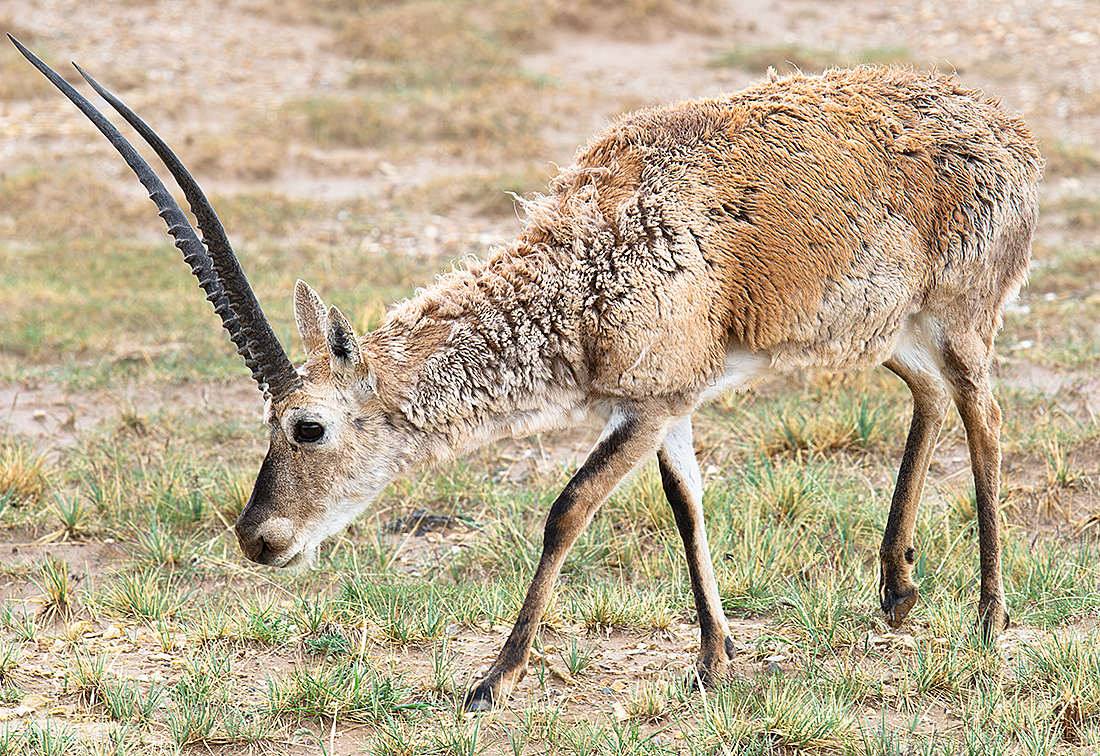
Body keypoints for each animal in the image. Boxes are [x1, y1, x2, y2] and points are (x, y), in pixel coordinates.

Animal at [19, 33, 1047, 708]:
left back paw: (990, 621)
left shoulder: (647, 403)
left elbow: (567, 508)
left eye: (307, 426)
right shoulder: (666, 403)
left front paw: (494, 677)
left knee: (986, 420)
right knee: (929, 397)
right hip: (891, 330)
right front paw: (714, 659)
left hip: (961, 317)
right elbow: (686, 505)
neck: (584, 263)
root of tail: (1009, 128)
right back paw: (898, 592)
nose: (259, 540)